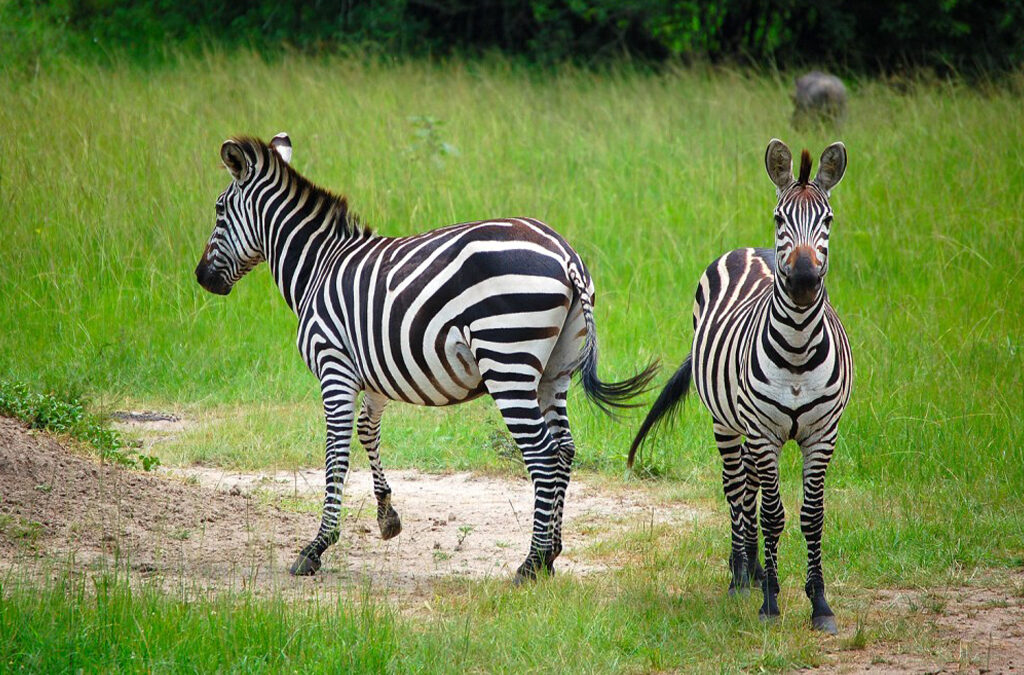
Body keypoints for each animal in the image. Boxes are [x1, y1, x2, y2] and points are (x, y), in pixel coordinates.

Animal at [194, 133, 657, 582]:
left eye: (218, 210)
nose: (201, 278)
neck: (318, 268)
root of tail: (566, 255)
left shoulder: (334, 365)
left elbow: (335, 452)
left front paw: (317, 547)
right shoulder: (373, 373)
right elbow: (367, 432)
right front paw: (387, 517)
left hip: (506, 361)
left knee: (543, 455)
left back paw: (531, 564)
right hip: (553, 372)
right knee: (563, 450)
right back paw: (551, 555)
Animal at [628, 139, 852, 633]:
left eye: (827, 220)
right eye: (779, 218)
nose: (804, 282)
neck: (798, 348)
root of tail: (750, 249)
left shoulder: (822, 434)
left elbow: (811, 517)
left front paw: (819, 603)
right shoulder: (764, 432)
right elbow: (772, 514)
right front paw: (770, 602)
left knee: (748, 487)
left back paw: (754, 568)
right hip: (728, 423)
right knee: (736, 487)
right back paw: (741, 575)